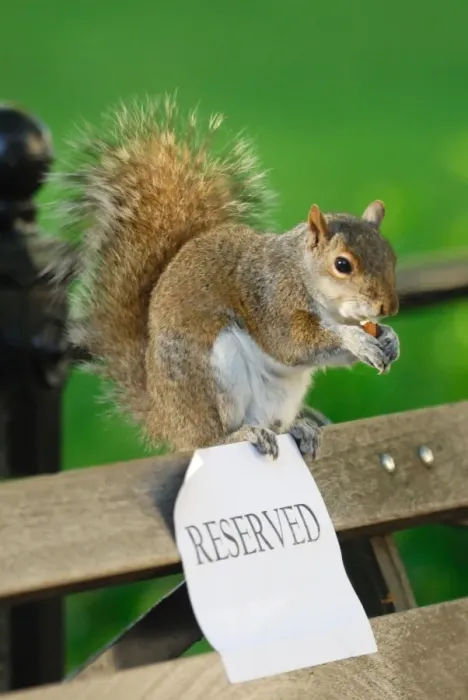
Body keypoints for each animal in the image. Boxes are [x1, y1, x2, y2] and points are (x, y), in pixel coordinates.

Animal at [52, 96, 400, 460]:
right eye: (342, 264)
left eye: (391, 256)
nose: (388, 308)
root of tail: (165, 418)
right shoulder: (269, 298)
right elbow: (293, 342)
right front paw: (356, 339)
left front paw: (389, 339)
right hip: (212, 374)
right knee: (208, 439)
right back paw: (240, 434)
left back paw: (298, 428)